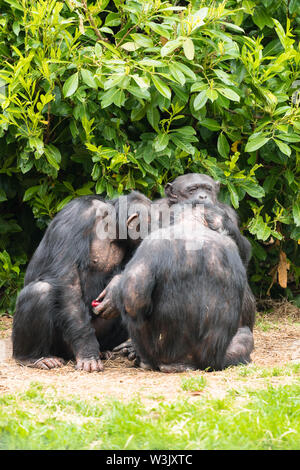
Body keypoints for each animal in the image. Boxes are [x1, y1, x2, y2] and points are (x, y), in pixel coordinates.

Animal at [11, 190, 152, 370]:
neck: (112, 227)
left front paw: (113, 291)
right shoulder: (78, 216)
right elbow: (68, 277)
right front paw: (87, 352)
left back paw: (104, 351)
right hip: (60, 344)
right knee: (39, 292)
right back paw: (34, 358)